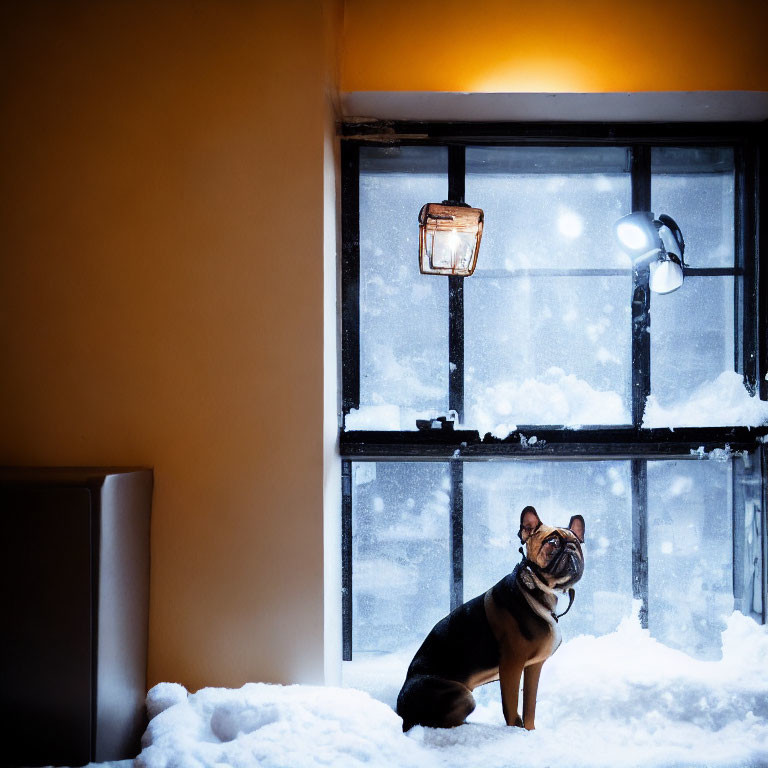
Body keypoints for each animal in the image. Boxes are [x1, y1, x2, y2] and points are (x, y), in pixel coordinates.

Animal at [400, 510, 584, 732]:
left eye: (578, 543)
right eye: (553, 542)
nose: (571, 548)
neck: (537, 589)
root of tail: (401, 710)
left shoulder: (533, 666)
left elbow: (529, 705)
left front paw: (529, 730)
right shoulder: (511, 666)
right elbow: (511, 707)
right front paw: (515, 730)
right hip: (463, 695)